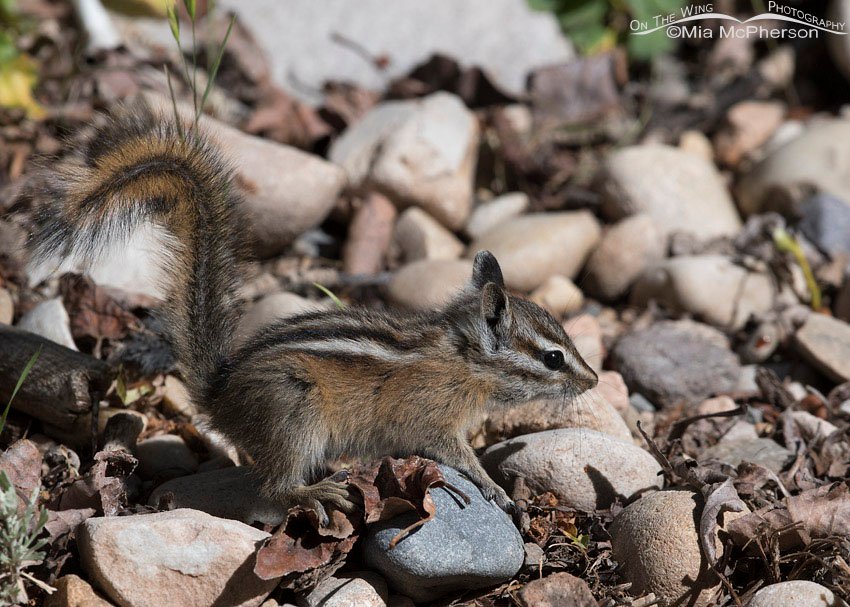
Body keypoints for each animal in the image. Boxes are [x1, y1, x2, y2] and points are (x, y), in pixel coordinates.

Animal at [27, 103, 599, 525]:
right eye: (552, 358)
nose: (593, 381)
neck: (463, 359)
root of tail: (217, 394)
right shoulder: (435, 421)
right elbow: (458, 457)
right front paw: (491, 486)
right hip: (294, 413)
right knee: (275, 486)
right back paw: (315, 493)